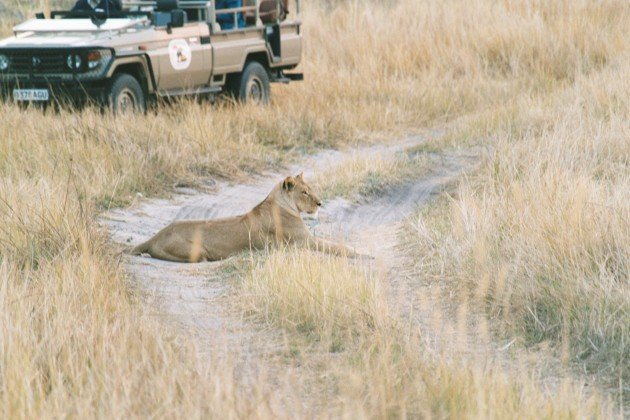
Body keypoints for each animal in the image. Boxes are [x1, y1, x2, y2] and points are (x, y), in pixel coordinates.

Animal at [130, 172, 360, 260]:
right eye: (304, 192)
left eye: (310, 189)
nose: (320, 203)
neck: (281, 203)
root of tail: (156, 235)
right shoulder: (304, 241)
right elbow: (336, 247)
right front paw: (362, 253)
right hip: (197, 251)